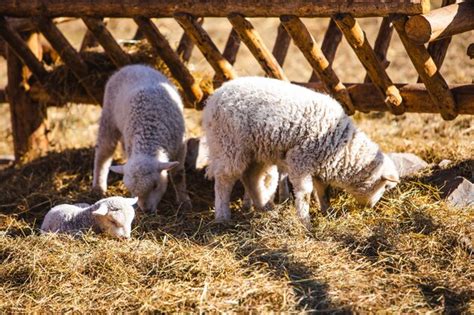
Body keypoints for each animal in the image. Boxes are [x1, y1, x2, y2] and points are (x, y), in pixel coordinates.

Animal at [92, 64, 191, 214]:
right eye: (131, 190)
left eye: (155, 186)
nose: (146, 211)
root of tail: (132, 66)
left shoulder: (181, 146)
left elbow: (178, 175)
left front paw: (184, 202)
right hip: (109, 117)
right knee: (103, 153)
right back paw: (98, 187)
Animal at [203, 78, 400, 228]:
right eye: (385, 187)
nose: (372, 207)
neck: (342, 148)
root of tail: (214, 96)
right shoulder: (301, 160)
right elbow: (305, 193)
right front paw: (306, 222)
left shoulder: (318, 165)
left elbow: (323, 191)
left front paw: (327, 211)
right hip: (228, 145)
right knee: (224, 180)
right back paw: (223, 216)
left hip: (257, 151)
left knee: (252, 178)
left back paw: (265, 208)